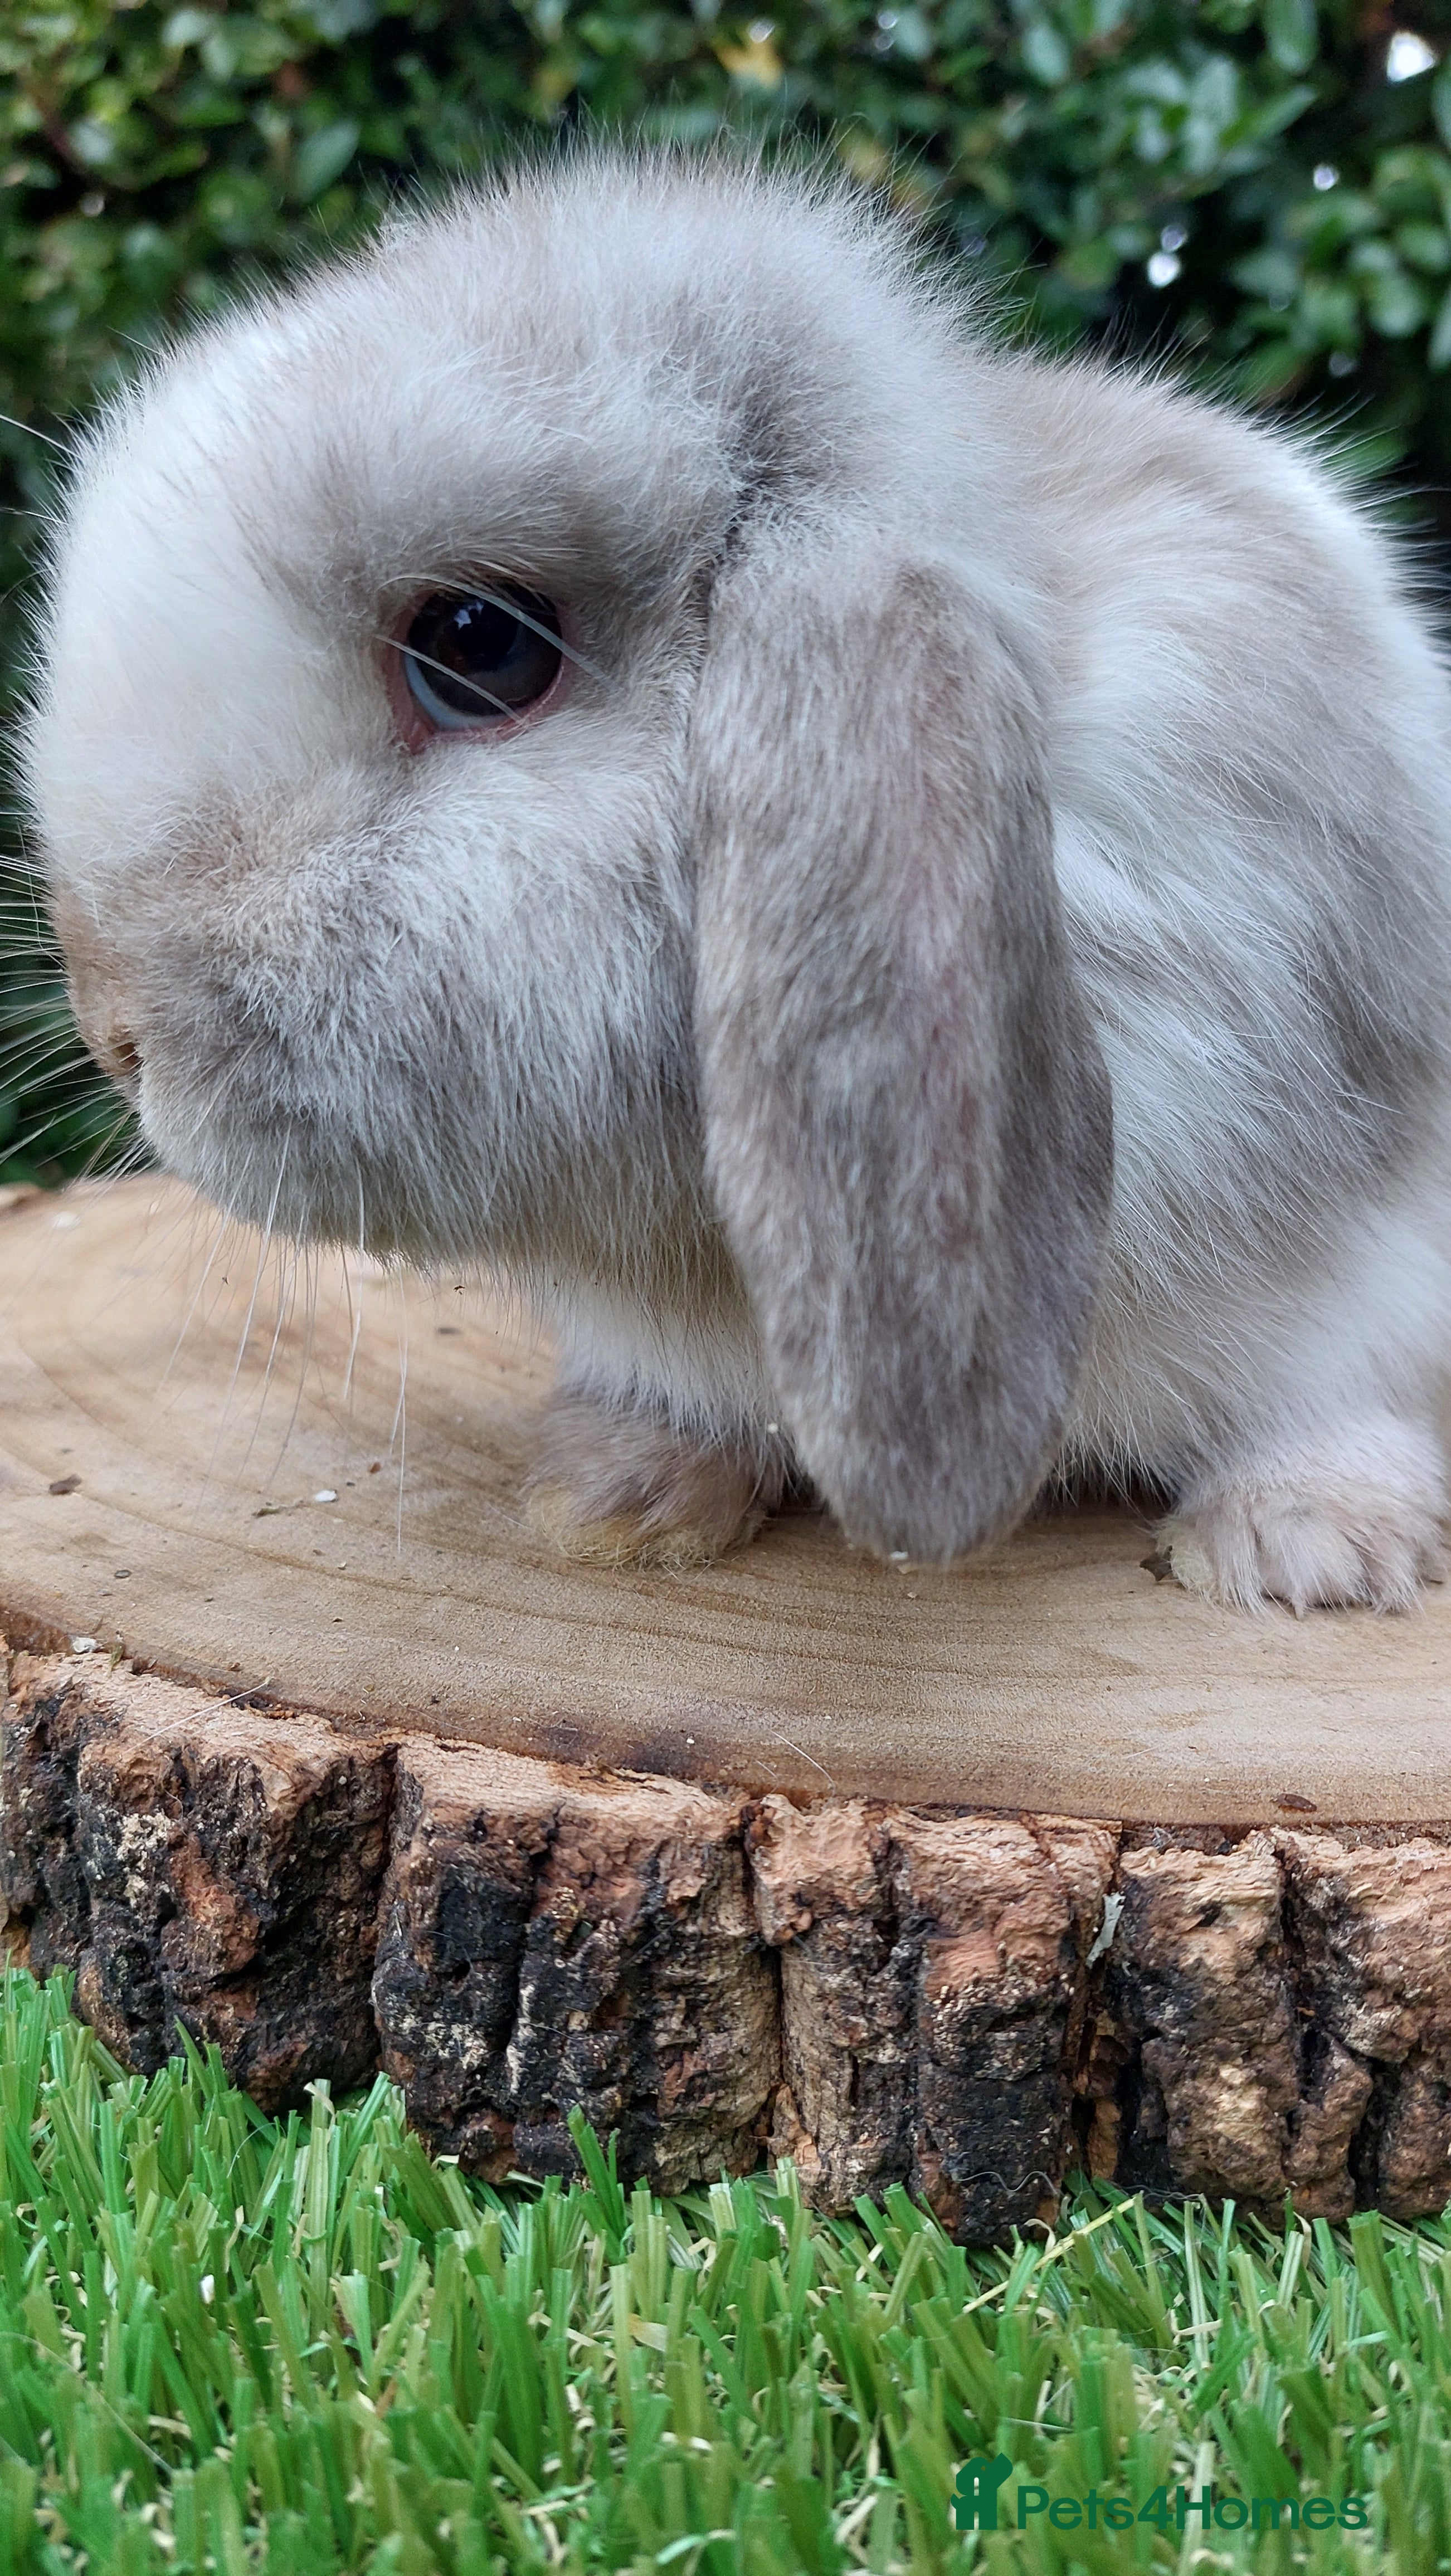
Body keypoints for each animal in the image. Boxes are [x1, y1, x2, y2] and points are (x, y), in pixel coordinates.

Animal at [23, 149, 1451, 1611]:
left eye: (476, 645)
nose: (113, 1028)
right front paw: (616, 1497)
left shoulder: (1370, 1245)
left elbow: (1341, 1382)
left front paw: (1304, 1549)